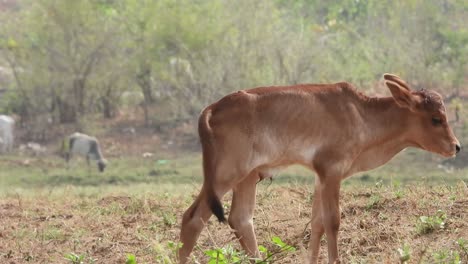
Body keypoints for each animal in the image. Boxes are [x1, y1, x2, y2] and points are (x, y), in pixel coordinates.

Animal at [179, 74, 460, 264]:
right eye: (436, 119)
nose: (456, 147)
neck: (361, 115)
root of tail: (212, 108)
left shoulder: (319, 178)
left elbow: (317, 223)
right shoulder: (332, 172)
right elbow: (333, 221)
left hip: (247, 177)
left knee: (240, 218)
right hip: (226, 174)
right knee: (193, 218)